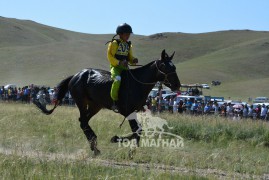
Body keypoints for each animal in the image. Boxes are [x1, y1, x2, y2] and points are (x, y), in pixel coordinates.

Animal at [34, 49, 180, 155]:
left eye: (174, 67)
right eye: (165, 67)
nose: (177, 85)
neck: (137, 84)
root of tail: (76, 75)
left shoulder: (134, 112)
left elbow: (138, 130)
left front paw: (128, 148)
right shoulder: (127, 111)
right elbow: (136, 130)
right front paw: (119, 142)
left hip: (95, 106)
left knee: (84, 121)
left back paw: (94, 145)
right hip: (81, 102)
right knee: (83, 122)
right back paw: (94, 145)